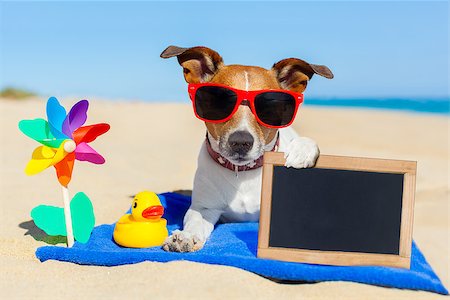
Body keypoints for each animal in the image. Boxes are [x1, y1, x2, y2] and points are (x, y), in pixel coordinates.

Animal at [160, 45, 332, 252]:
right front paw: (186, 236)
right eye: (219, 101)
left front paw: (301, 151)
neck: (243, 173)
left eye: (270, 105)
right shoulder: (204, 208)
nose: (240, 142)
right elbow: (195, 221)